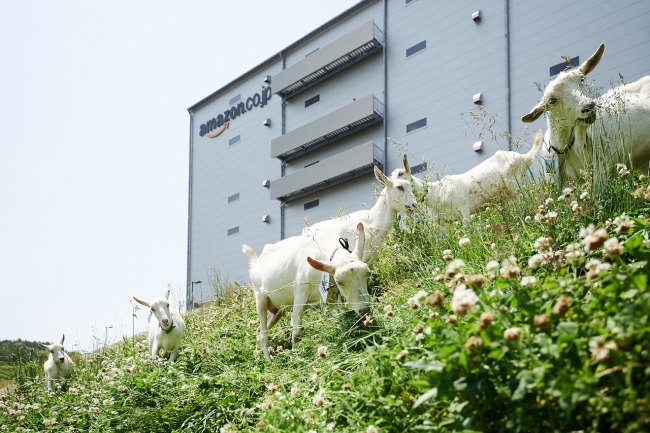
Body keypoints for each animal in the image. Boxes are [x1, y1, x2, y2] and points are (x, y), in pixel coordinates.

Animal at [242, 221, 370, 360]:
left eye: (368, 273)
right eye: (340, 281)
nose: (365, 310)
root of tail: (256, 263)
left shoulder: (331, 296)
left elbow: (337, 317)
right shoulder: (300, 294)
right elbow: (296, 334)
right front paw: (296, 358)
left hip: (278, 309)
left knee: (259, 330)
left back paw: (257, 357)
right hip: (260, 299)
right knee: (264, 335)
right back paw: (268, 360)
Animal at [390, 130, 540, 221]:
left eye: (401, 173)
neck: (437, 192)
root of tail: (524, 157)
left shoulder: (465, 211)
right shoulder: (445, 221)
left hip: (514, 184)